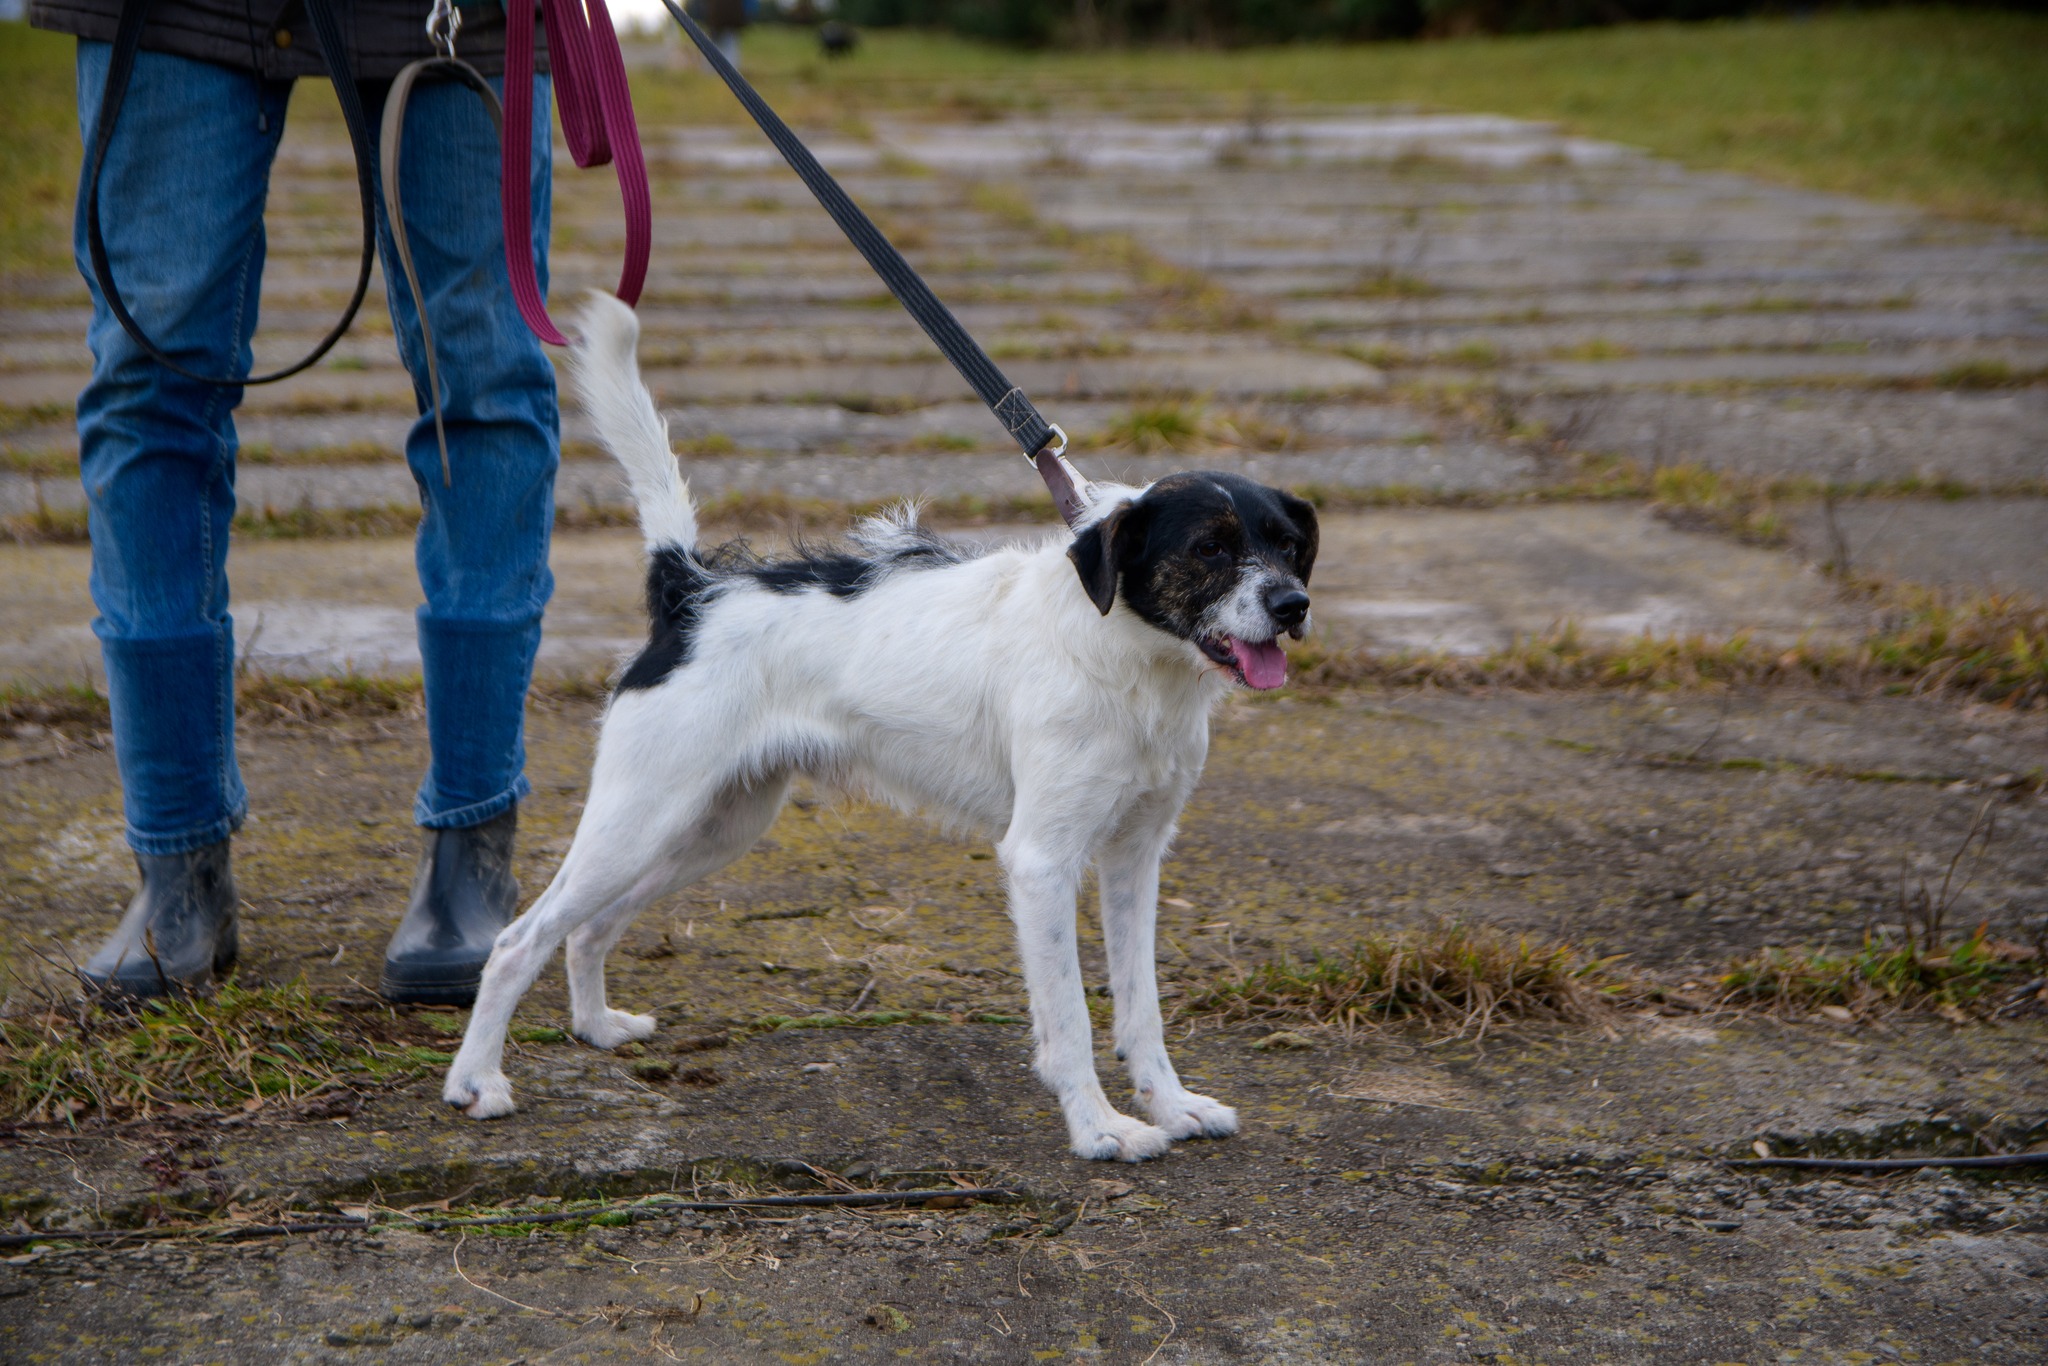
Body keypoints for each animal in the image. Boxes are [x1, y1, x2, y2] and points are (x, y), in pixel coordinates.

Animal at [442, 293, 1319, 1161]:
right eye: (1209, 549)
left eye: (1288, 546)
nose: (1294, 605)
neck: (1131, 660)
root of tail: (689, 591)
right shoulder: (1041, 862)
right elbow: (1069, 1019)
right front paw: (1099, 1126)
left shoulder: (1134, 857)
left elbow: (1143, 1008)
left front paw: (1170, 1104)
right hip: (640, 817)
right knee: (520, 940)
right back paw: (477, 1081)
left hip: (710, 826)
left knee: (589, 928)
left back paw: (595, 1026)